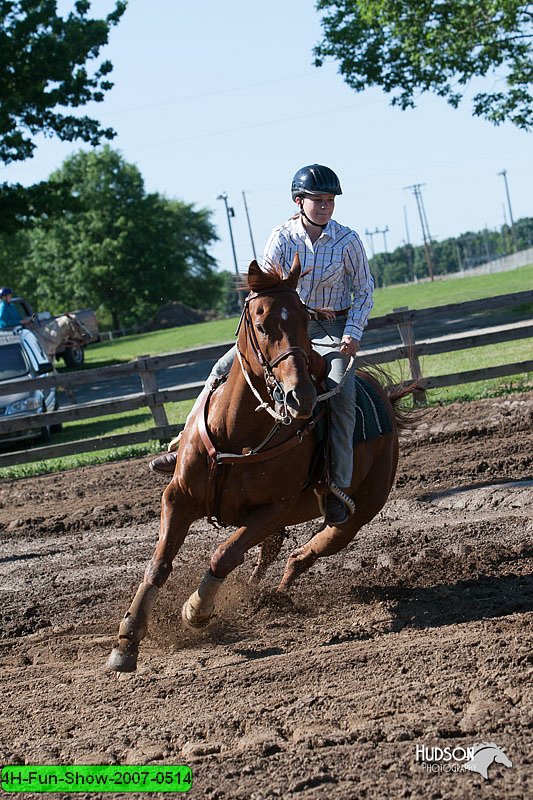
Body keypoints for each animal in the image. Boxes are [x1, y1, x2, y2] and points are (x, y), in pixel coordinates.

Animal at [107, 255, 408, 668]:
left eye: (304, 321)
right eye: (262, 324)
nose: (301, 397)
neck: (237, 433)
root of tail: (386, 400)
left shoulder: (271, 510)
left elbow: (223, 555)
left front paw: (196, 611)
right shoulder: (178, 497)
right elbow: (159, 564)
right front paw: (127, 641)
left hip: (356, 514)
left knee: (305, 552)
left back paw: (272, 598)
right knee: (274, 553)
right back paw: (258, 595)